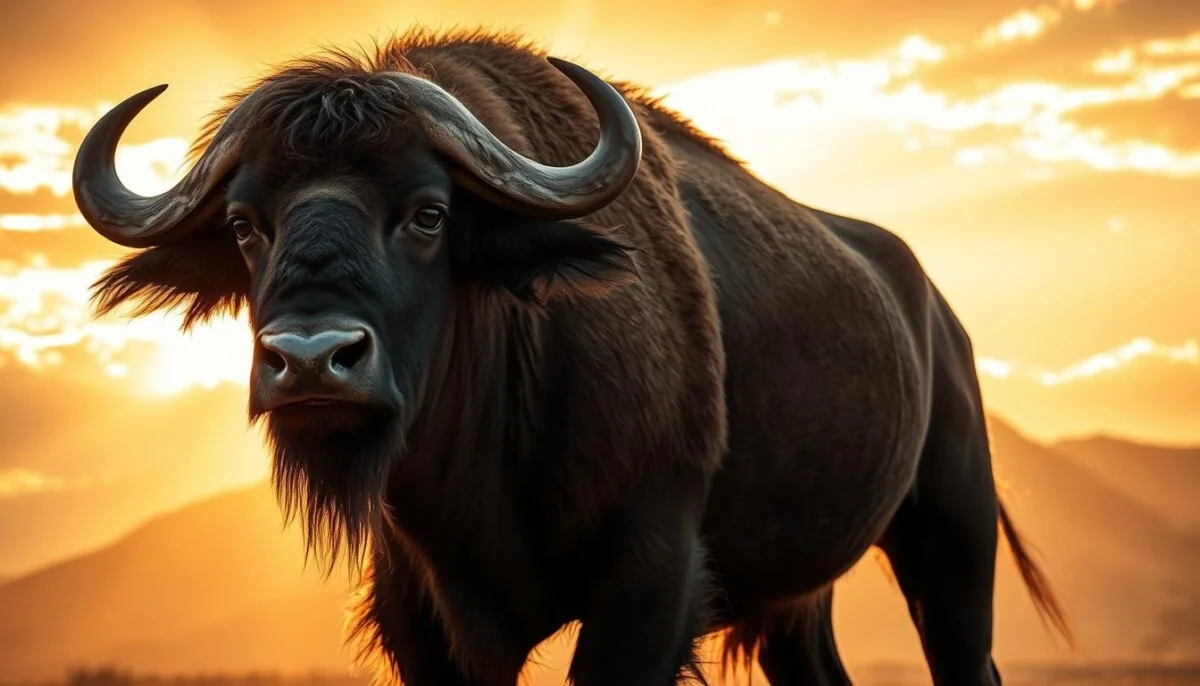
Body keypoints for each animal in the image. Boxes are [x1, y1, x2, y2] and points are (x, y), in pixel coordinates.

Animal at [72, 29, 1072, 686]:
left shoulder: (652, 580)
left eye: (428, 213)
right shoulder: (420, 613)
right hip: (796, 604)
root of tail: (937, 318)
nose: (314, 359)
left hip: (952, 542)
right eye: (247, 224)